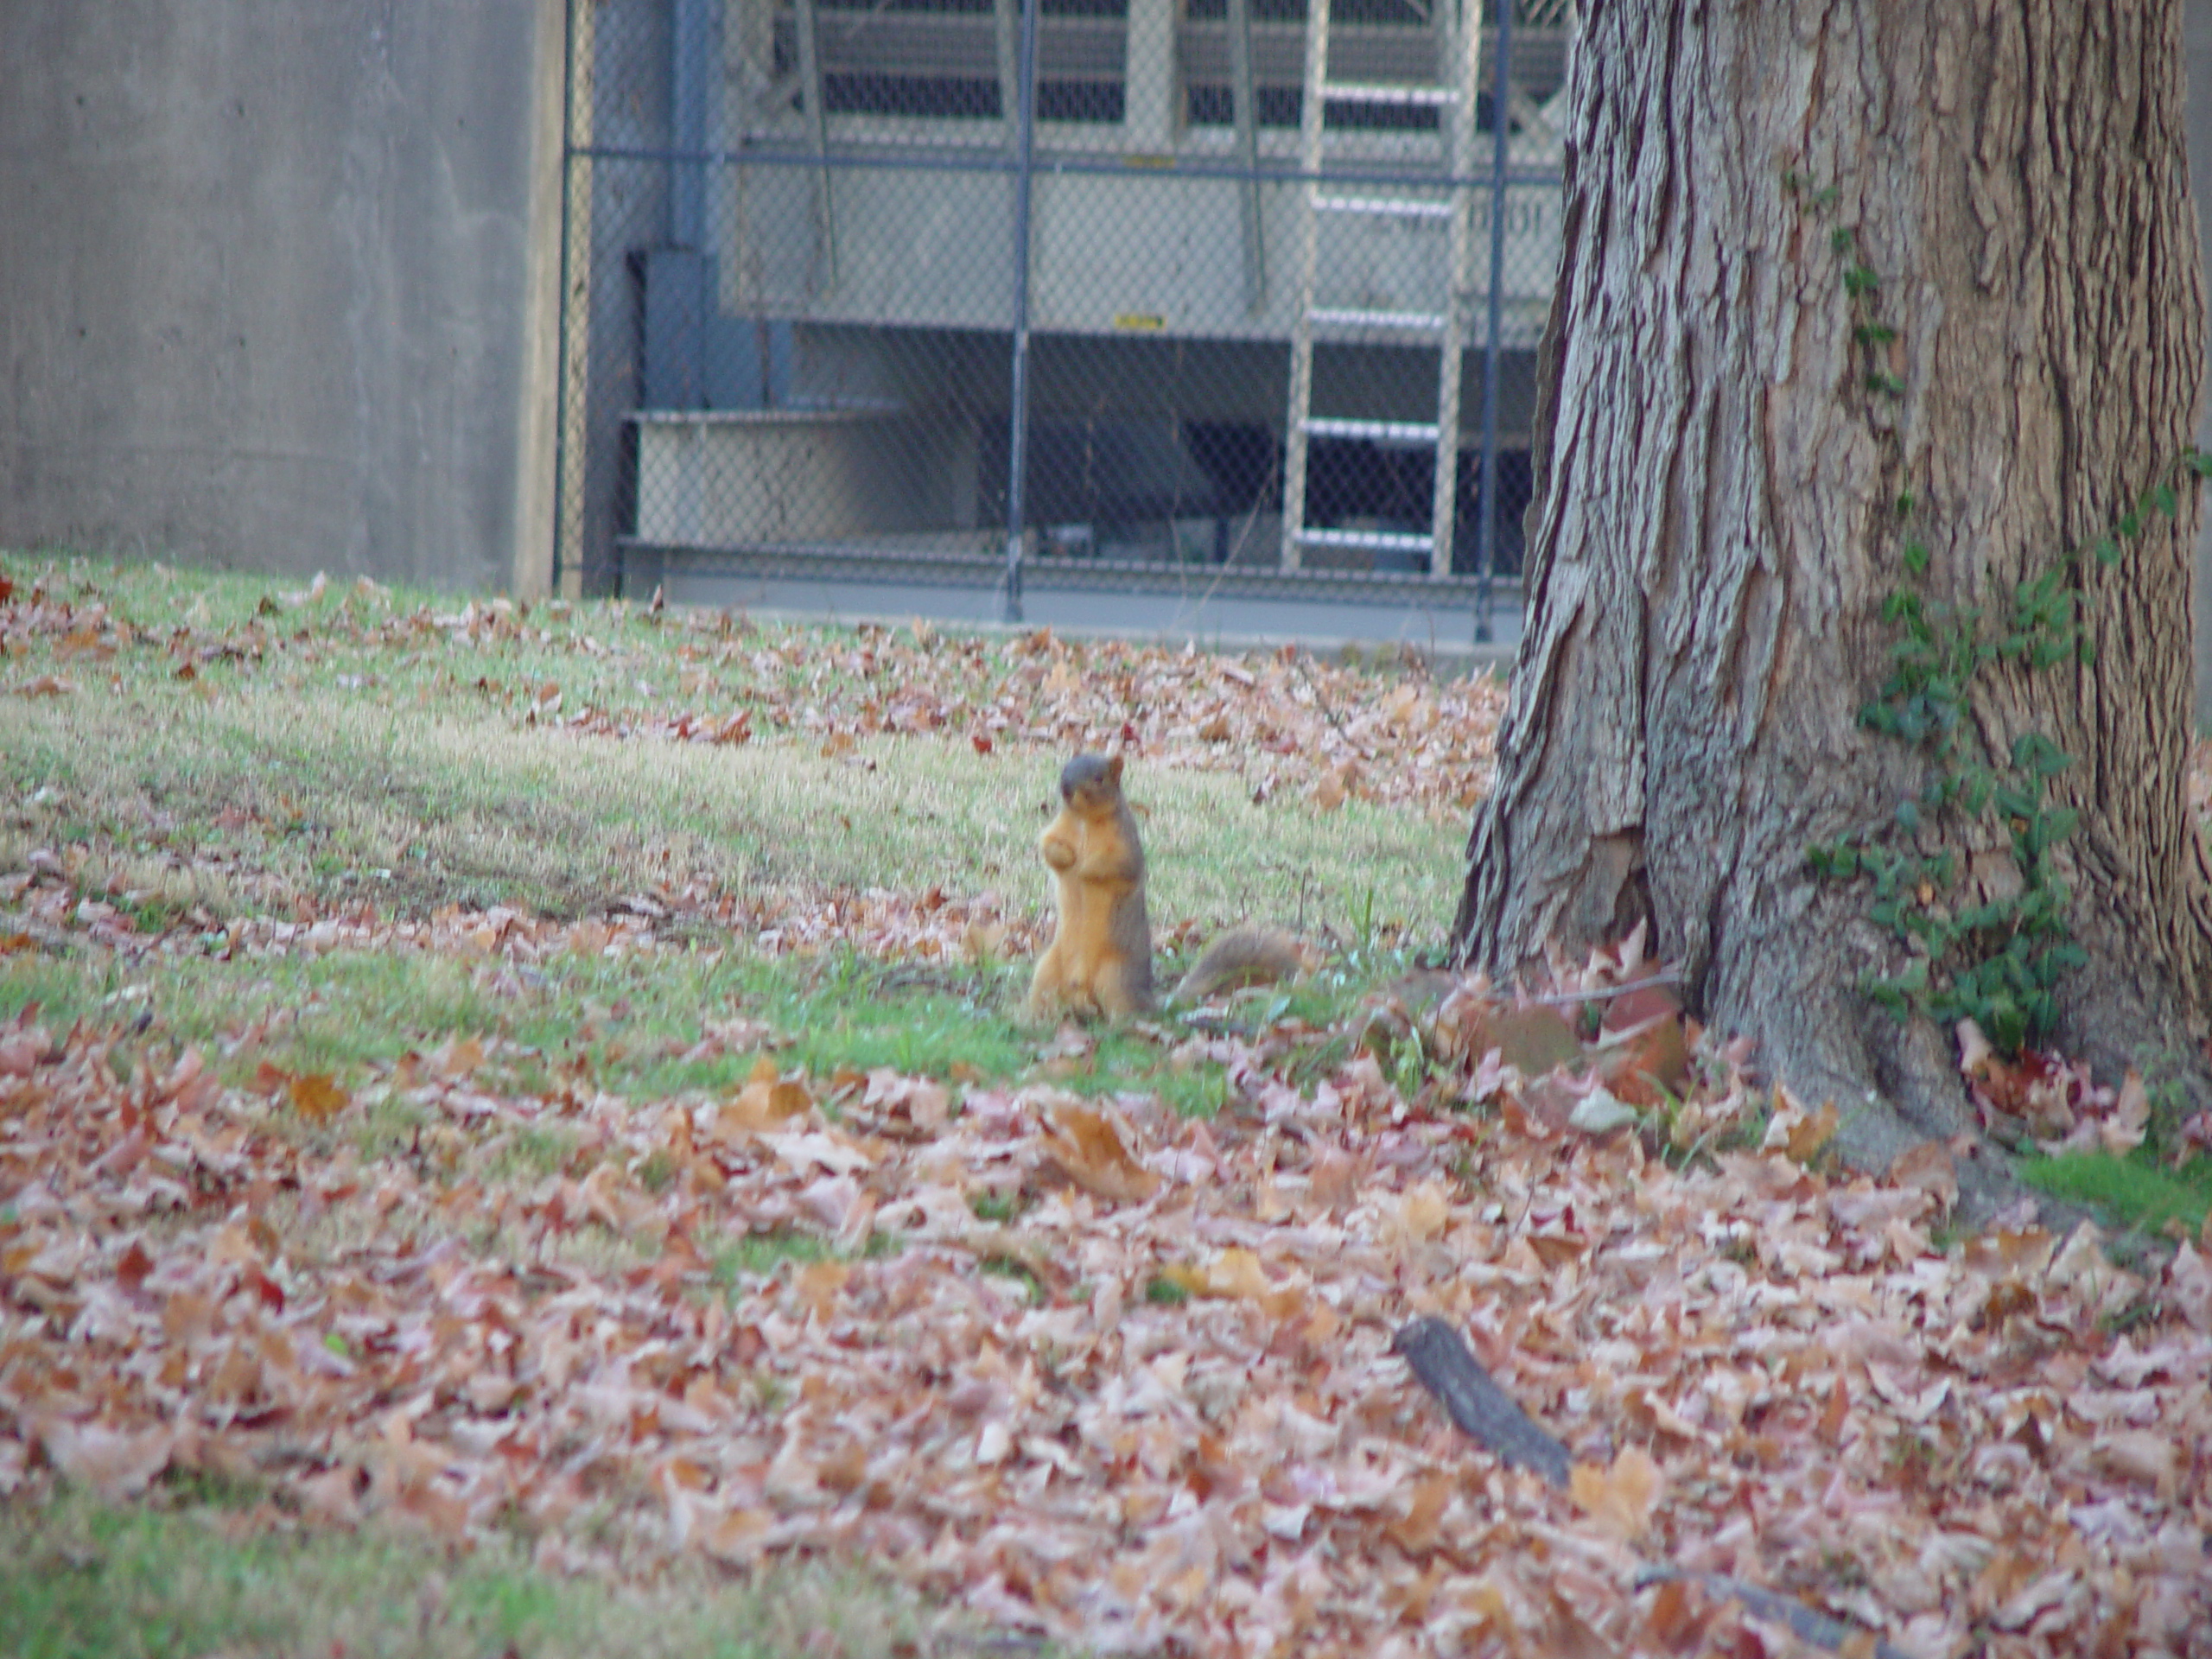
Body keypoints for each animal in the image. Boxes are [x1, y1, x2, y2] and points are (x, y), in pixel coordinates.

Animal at [1021, 756, 1309, 1021]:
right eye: (1065, 769)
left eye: (1099, 779)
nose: (1066, 789)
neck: (1084, 821)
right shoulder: (1058, 829)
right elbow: (1047, 844)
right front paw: (1066, 856)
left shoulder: (1126, 845)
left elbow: (1117, 865)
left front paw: (1084, 867)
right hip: (1048, 970)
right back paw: (1036, 1021)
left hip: (1115, 976)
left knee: (1124, 1011)